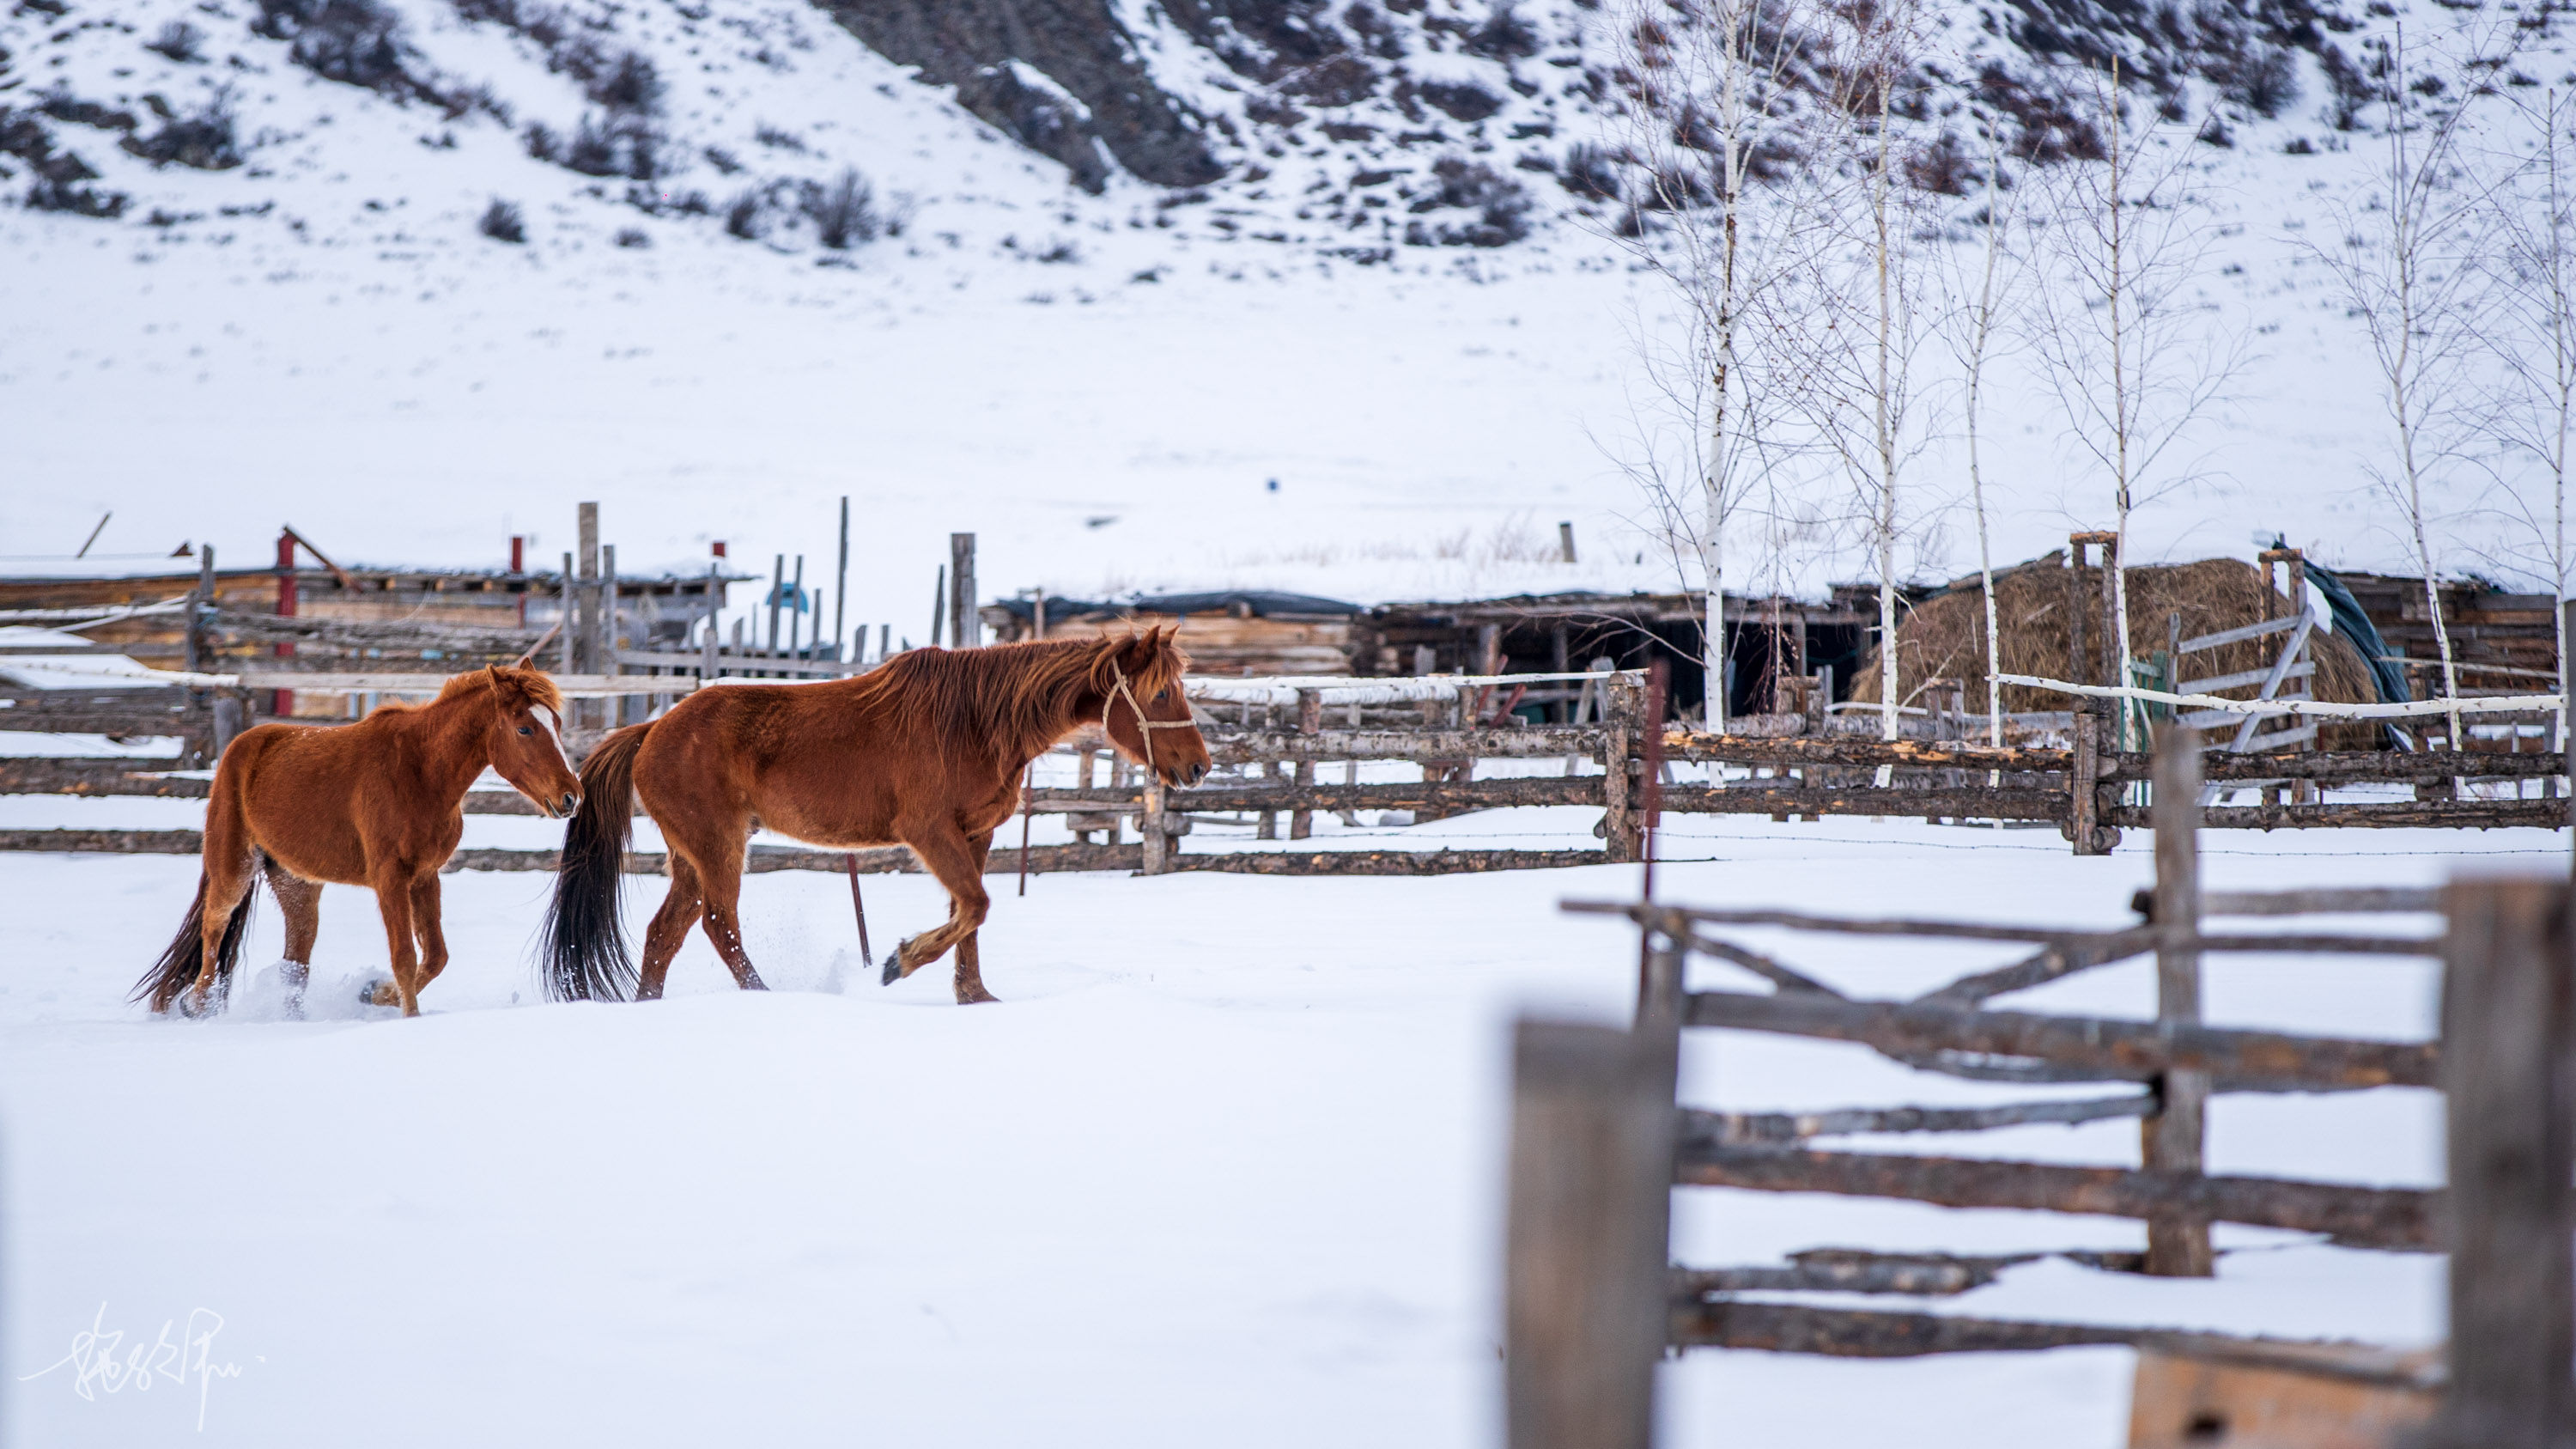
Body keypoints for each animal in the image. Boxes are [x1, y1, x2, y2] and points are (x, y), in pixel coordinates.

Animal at [137, 660, 585, 1010]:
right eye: (525, 729)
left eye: (557, 723)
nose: (571, 796)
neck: (420, 773)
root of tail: (241, 746)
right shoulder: (389, 876)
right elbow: (404, 956)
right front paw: (407, 1016)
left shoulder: (424, 876)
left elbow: (435, 957)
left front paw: (375, 994)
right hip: (234, 867)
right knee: (214, 925)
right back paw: (198, 1004)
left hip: (297, 886)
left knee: (295, 963)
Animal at [544, 631, 1206, 1005]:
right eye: (1161, 692)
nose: (1199, 766)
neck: (975, 720)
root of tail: (653, 728)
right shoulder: (930, 832)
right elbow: (976, 906)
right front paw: (898, 962)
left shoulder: (977, 834)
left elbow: (970, 915)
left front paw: (975, 996)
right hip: (717, 847)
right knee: (717, 924)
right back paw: (765, 998)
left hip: (689, 858)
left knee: (665, 935)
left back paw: (649, 1006)